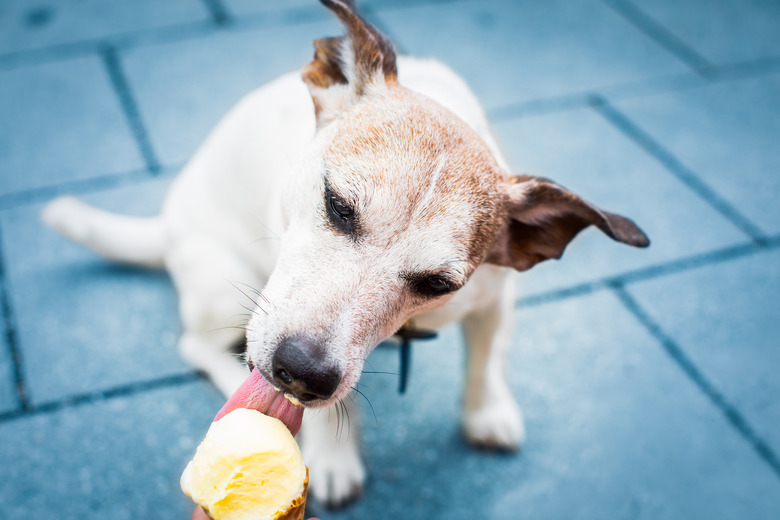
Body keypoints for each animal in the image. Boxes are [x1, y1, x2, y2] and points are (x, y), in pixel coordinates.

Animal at [42, 0, 652, 510]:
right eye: (337, 205)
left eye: (438, 284)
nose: (302, 373)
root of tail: (165, 227)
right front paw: (332, 455)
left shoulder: (492, 300)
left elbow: (484, 363)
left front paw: (487, 412)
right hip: (222, 286)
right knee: (198, 347)